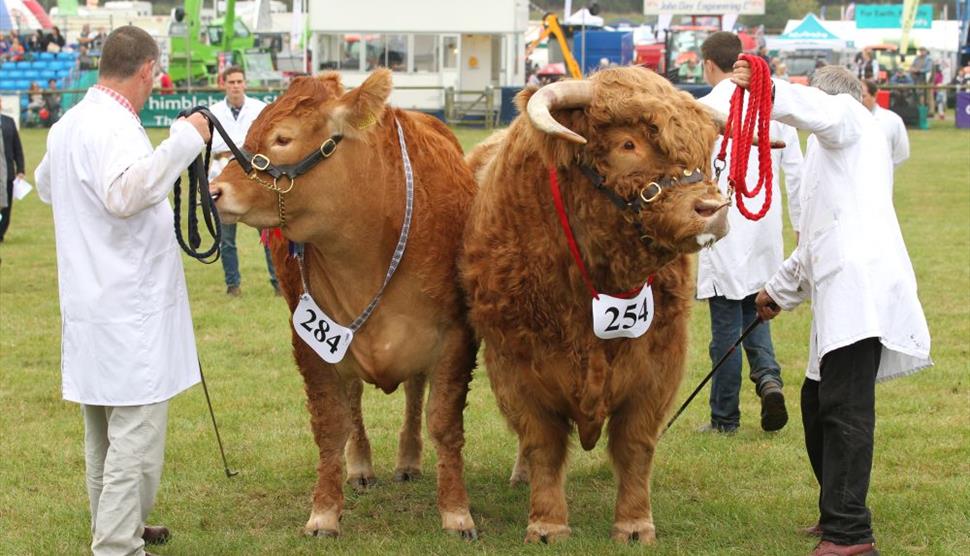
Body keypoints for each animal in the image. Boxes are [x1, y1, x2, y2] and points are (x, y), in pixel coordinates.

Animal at [216, 69, 480, 540]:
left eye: (283, 138)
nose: (214, 190)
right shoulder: (311, 339)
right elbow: (330, 425)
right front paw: (324, 511)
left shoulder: (455, 336)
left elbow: (444, 423)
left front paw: (456, 511)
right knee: (355, 399)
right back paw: (359, 466)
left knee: (414, 392)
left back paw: (408, 458)